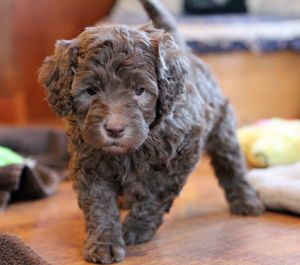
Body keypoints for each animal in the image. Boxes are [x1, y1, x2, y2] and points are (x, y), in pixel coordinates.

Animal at [38, 0, 264, 262]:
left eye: (139, 90)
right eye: (91, 91)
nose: (115, 129)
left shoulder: (180, 157)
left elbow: (154, 197)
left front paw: (136, 229)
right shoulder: (89, 163)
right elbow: (99, 203)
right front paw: (104, 242)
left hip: (222, 128)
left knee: (231, 164)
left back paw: (246, 200)